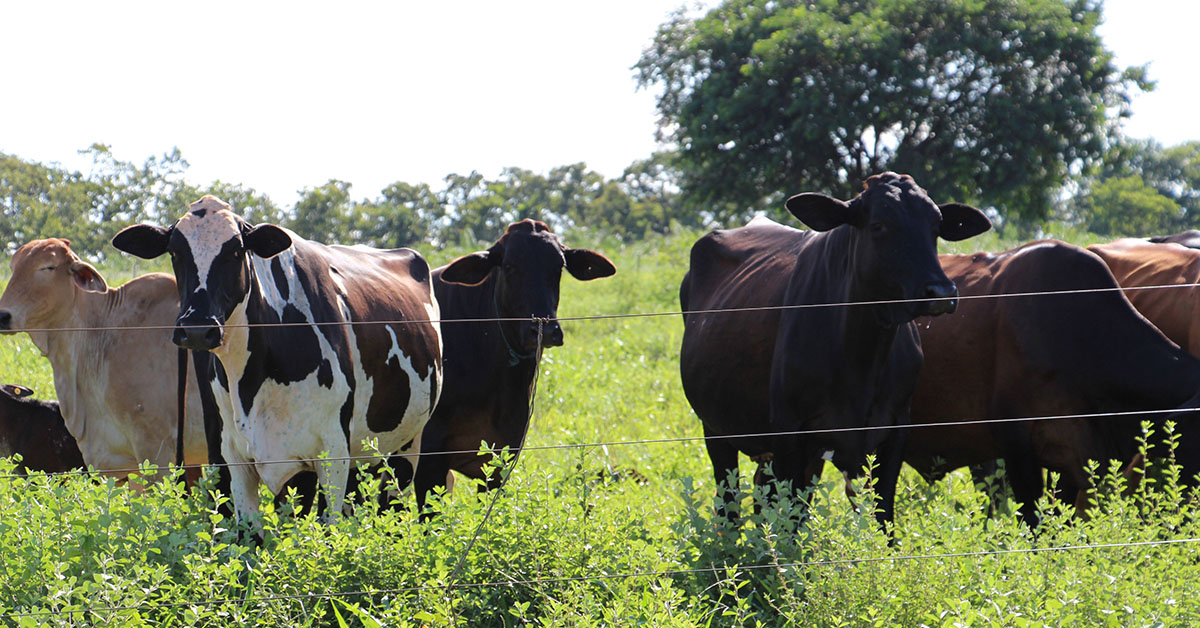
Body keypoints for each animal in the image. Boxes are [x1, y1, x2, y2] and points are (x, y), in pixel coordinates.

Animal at [110, 196, 441, 521]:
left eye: (236, 251)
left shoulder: (333, 454)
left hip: (406, 447)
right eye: (175, 253)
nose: (196, 328)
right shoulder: (236, 458)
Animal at [681, 171, 988, 525]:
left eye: (936, 226)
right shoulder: (789, 432)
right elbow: (790, 520)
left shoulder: (894, 430)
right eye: (879, 225)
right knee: (729, 504)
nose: (941, 292)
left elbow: (882, 515)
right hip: (716, 430)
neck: (863, 357)